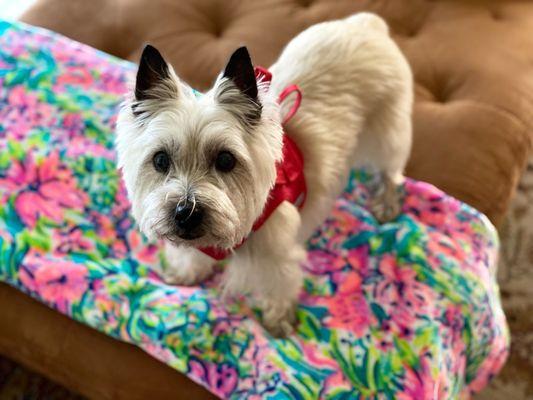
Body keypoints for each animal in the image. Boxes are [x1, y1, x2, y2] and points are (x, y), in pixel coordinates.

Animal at [115, 12, 412, 336]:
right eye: (160, 160)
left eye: (225, 160)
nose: (185, 214)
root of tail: (365, 24)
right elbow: (192, 256)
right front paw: (185, 273)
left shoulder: (278, 258)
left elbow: (279, 286)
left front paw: (278, 321)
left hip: (389, 131)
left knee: (390, 170)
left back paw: (386, 203)